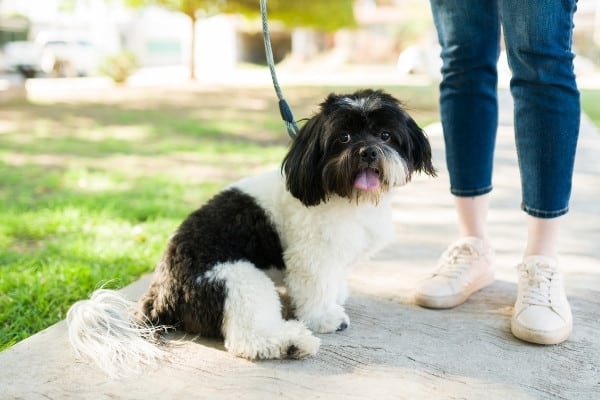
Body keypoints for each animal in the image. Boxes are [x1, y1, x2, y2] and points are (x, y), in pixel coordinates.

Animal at [67, 89, 436, 376]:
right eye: (343, 138)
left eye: (386, 136)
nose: (368, 151)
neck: (341, 195)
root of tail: (161, 292)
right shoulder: (312, 255)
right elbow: (316, 289)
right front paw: (324, 317)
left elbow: (335, 281)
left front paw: (338, 296)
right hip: (238, 280)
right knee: (247, 338)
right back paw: (291, 343)